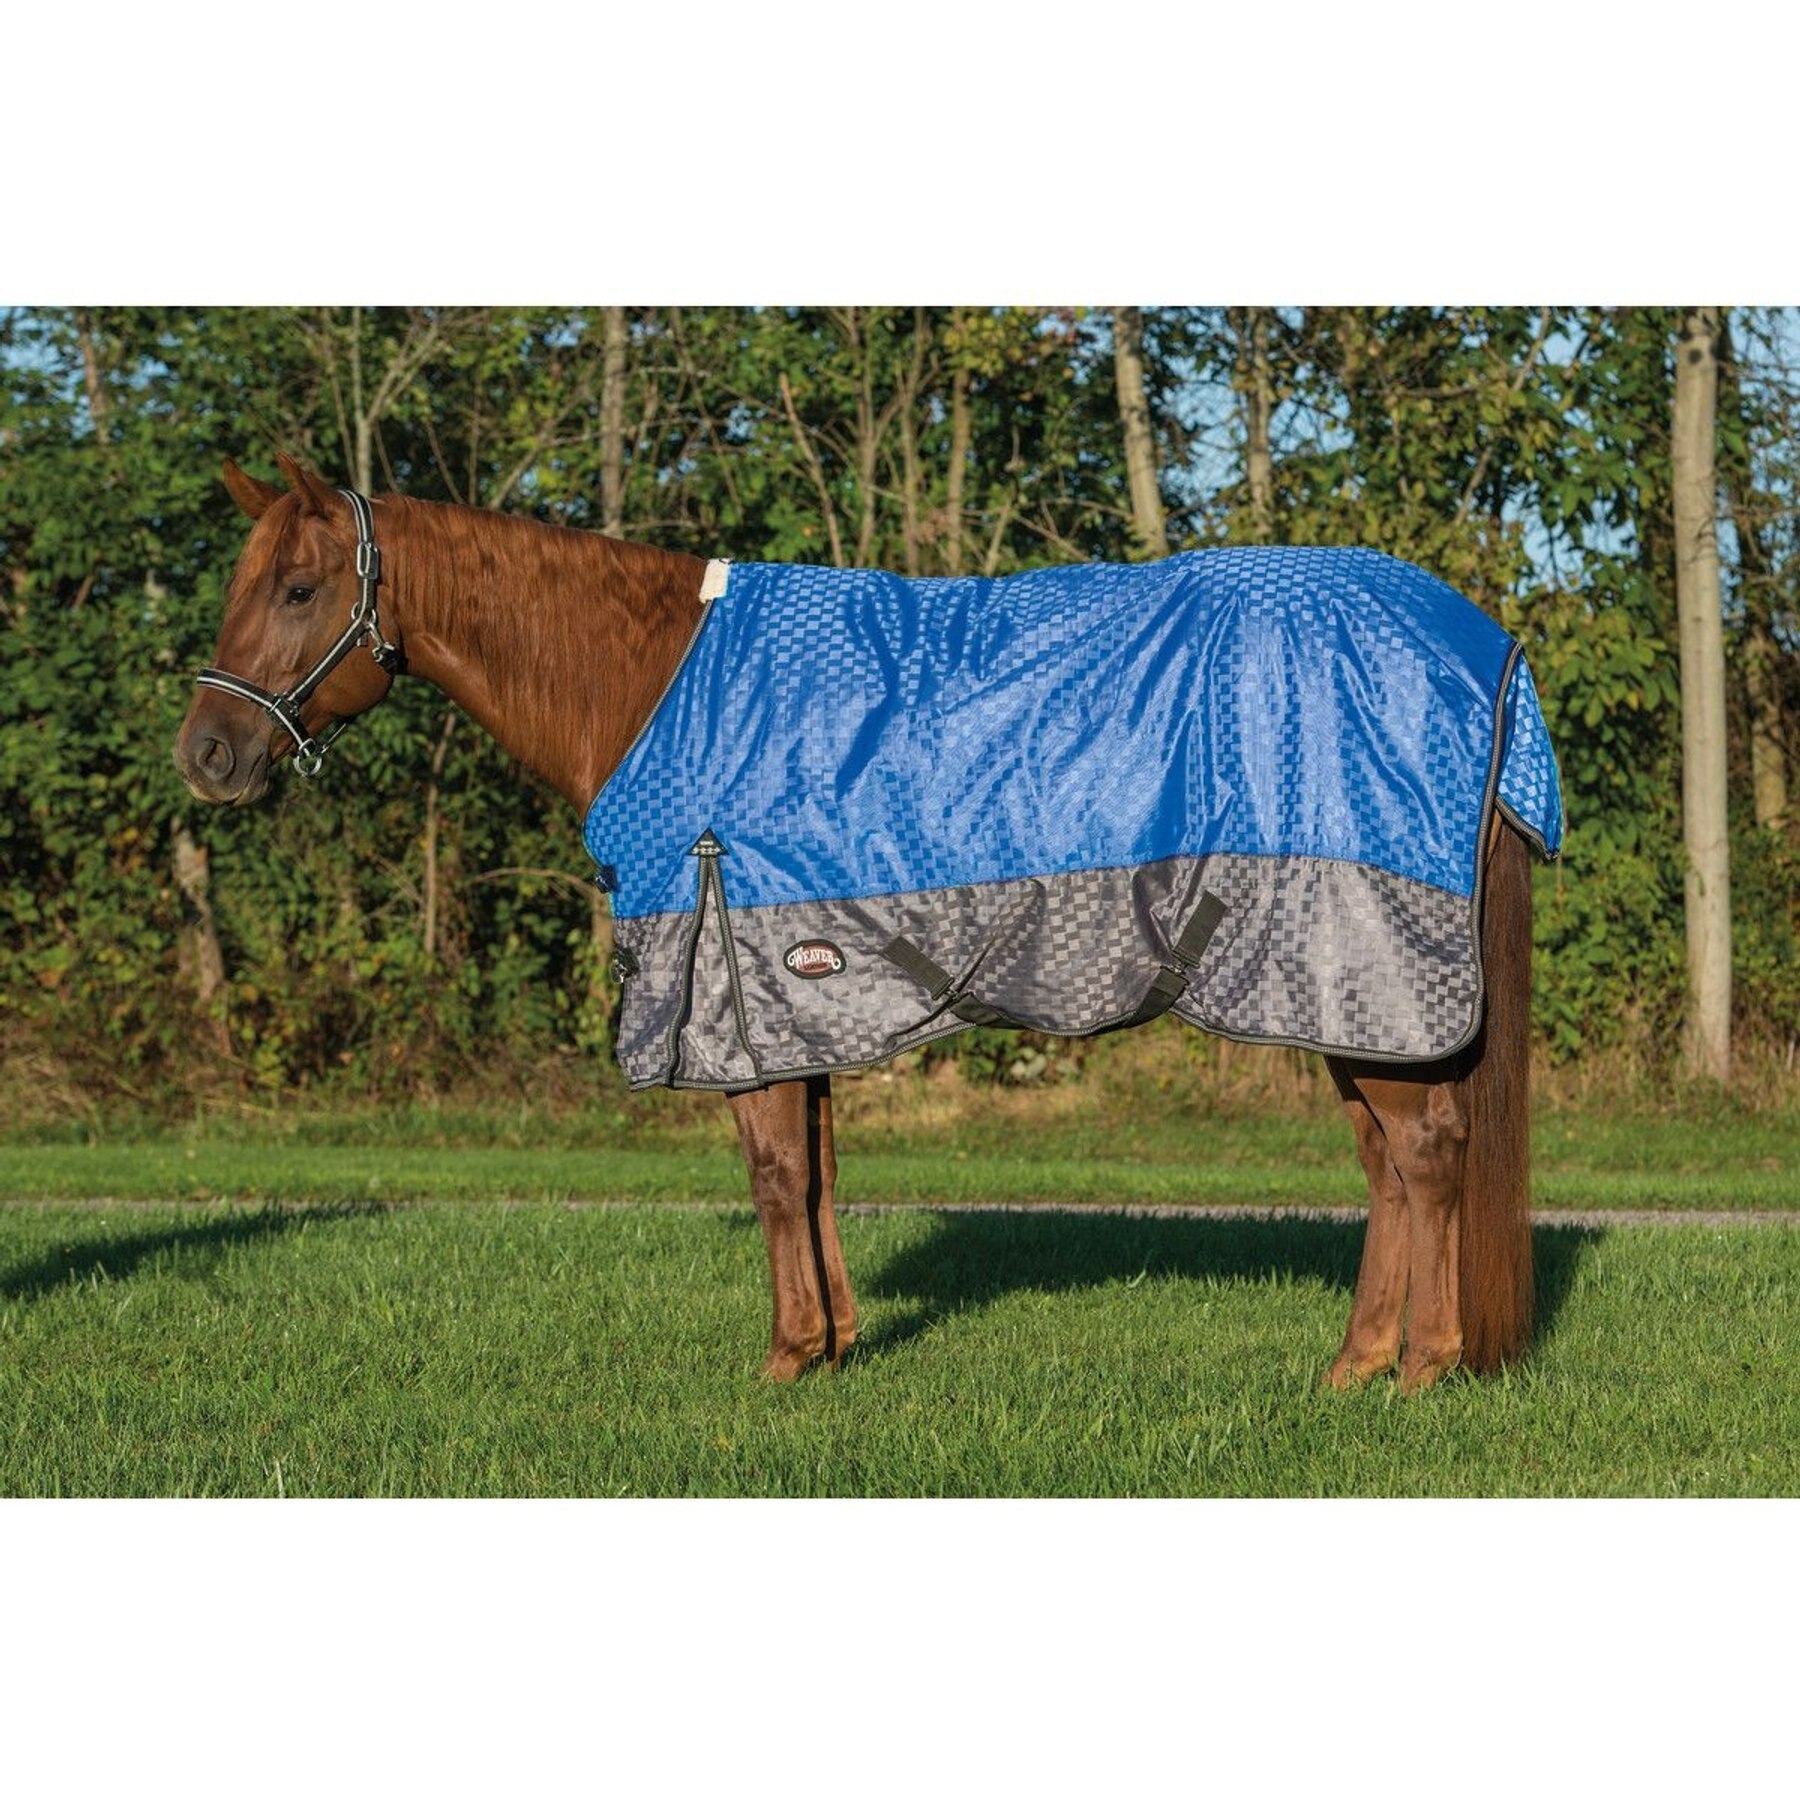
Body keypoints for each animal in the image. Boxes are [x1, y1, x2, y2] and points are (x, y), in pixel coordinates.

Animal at [174, 453, 1537, 1393]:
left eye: (299, 588)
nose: (206, 754)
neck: (653, 686)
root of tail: (1487, 651)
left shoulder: (734, 986)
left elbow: (777, 1176)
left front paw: (784, 1360)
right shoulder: (795, 993)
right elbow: (819, 1173)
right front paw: (834, 1345)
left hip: (1360, 973)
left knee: (1427, 1154)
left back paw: (1420, 1368)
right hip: (1333, 995)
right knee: (1388, 1165)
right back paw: (1353, 1368)